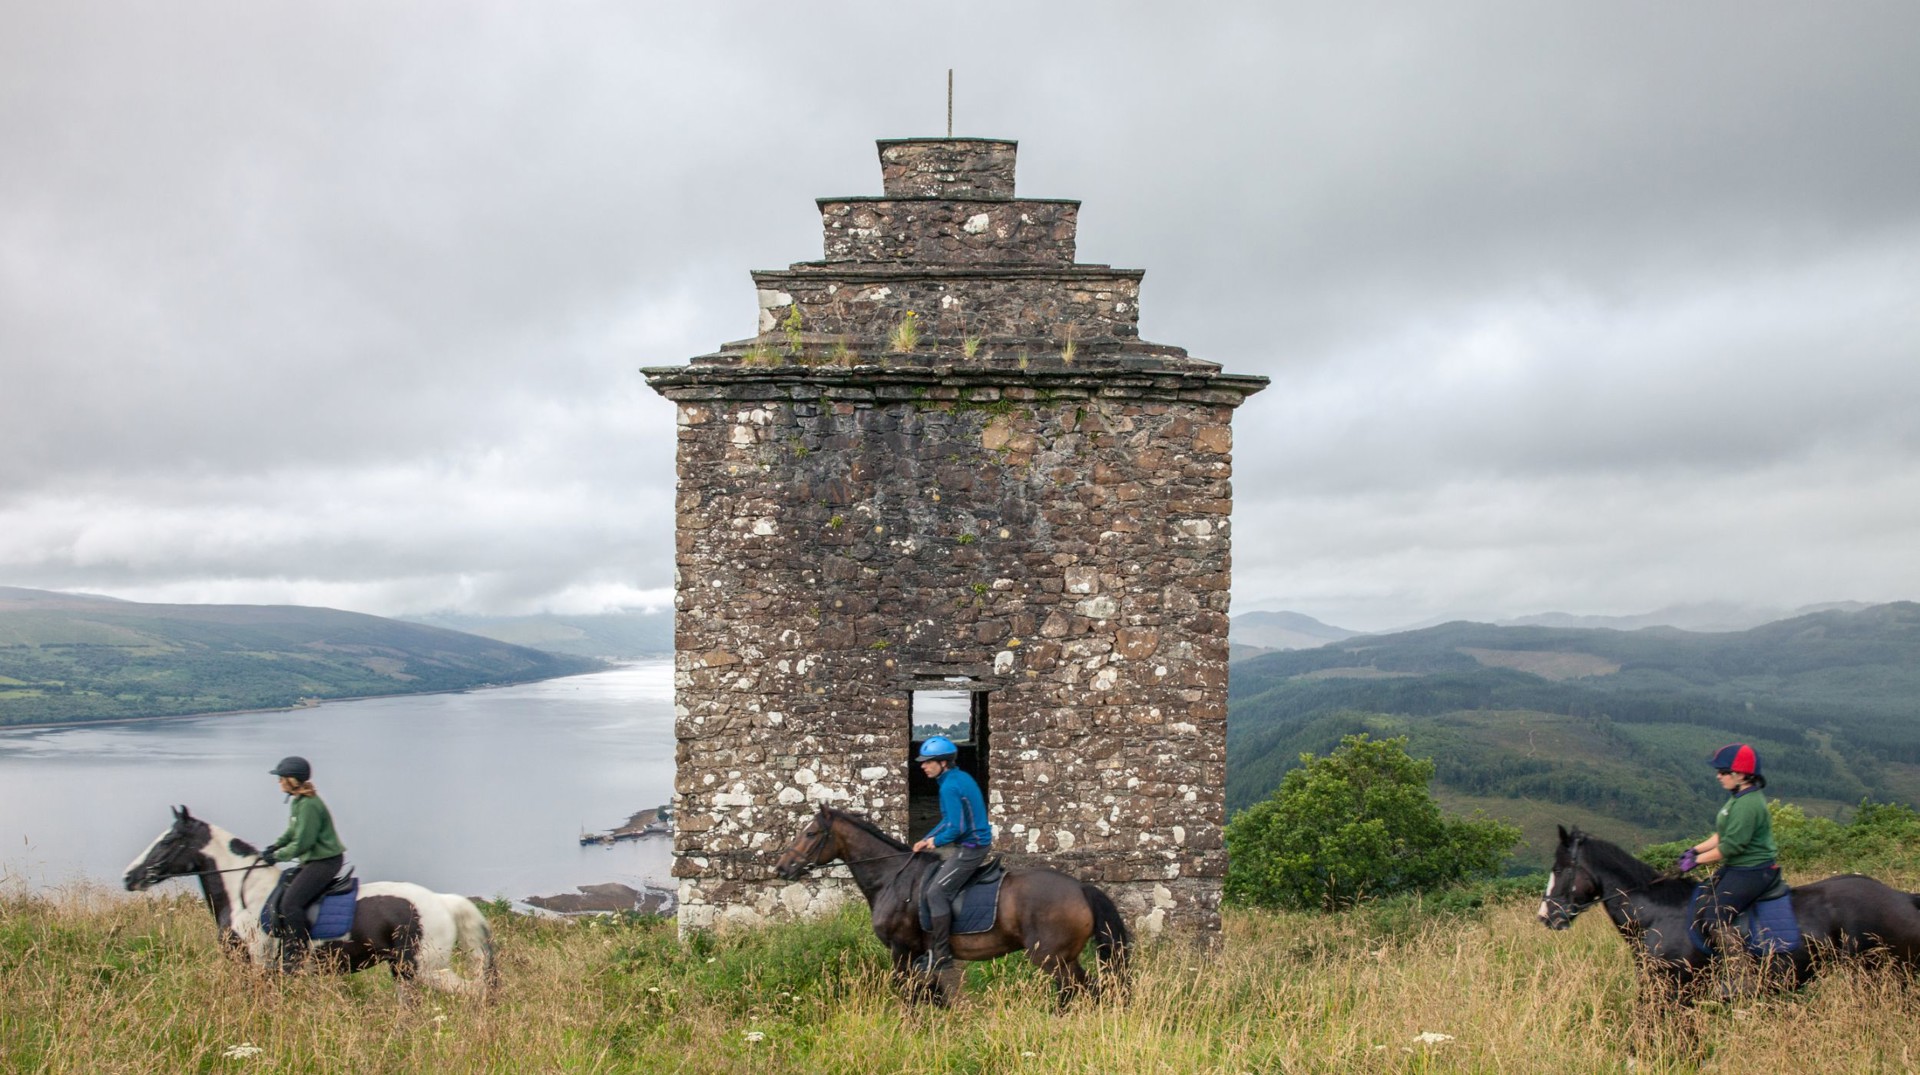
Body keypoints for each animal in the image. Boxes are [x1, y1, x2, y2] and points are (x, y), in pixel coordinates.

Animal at [121, 810, 495, 998]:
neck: (245, 897)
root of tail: (442, 901)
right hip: (404, 971)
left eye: (168, 840)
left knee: (475, 991)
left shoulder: (257, 964)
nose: (129, 877)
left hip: (425, 968)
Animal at [1536, 825, 1920, 1005]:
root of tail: (1903, 898)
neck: (1657, 915)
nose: (1545, 916)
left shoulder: (1677, 988)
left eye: (1560, 869)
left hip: (1886, 976)